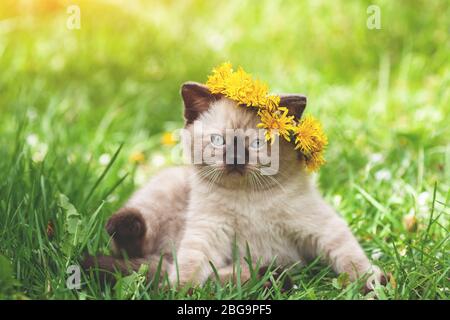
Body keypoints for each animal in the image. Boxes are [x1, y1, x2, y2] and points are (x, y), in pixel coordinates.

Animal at [85, 82, 386, 290]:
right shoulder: (208, 233)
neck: (249, 198)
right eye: (219, 140)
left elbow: (349, 256)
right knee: (137, 250)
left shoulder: (319, 227)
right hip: (164, 192)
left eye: (257, 143)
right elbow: (189, 268)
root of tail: (163, 255)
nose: (236, 159)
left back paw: (271, 280)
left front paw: (371, 282)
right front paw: (178, 292)